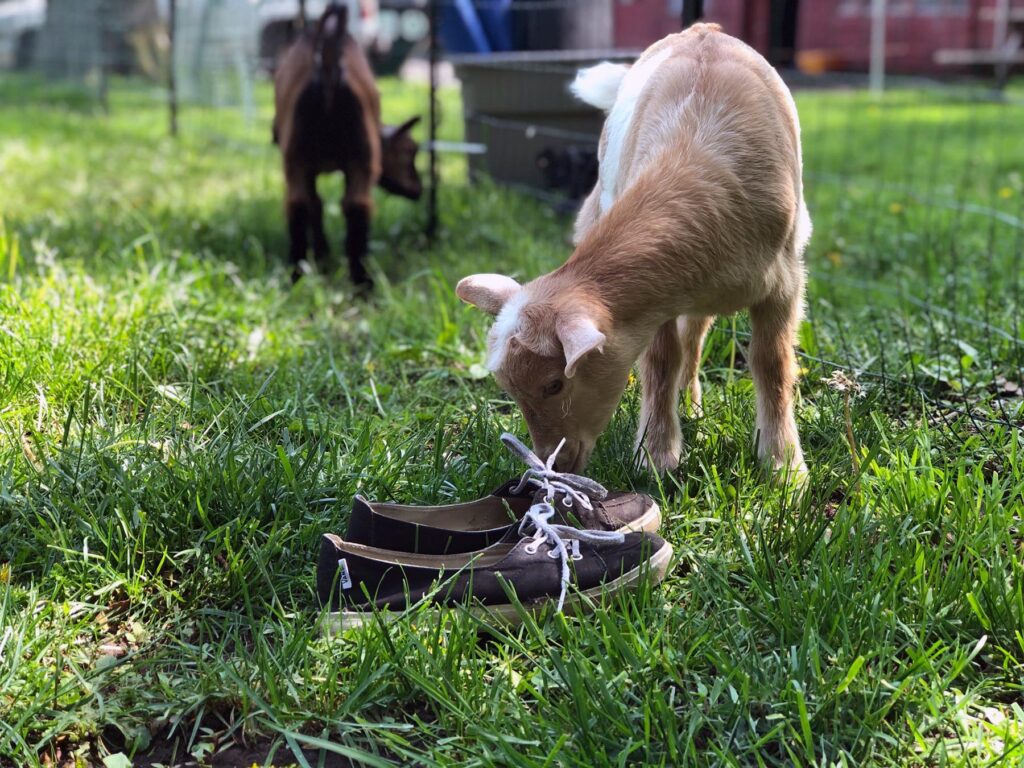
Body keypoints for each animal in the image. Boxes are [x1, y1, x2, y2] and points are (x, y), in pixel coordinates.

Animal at [273, 4, 422, 286]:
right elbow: (317, 204)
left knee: (304, 203)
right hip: (354, 160)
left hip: (303, 159)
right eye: (410, 151)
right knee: (351, 205)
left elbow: (316, 204)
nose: (418, 190)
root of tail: (329, 68)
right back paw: (359, 281)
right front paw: (323, 253)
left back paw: (301, 274)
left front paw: (322, 253)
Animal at [457, 25, 811, 481]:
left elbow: (772, 364)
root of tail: (702, 29)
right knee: (688, 342)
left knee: (695, 337)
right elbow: (660, 363)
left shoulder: (784, 282)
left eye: (555, 383)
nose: (555, 461)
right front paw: (657, 457)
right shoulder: (655, 300)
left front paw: (784, 468)